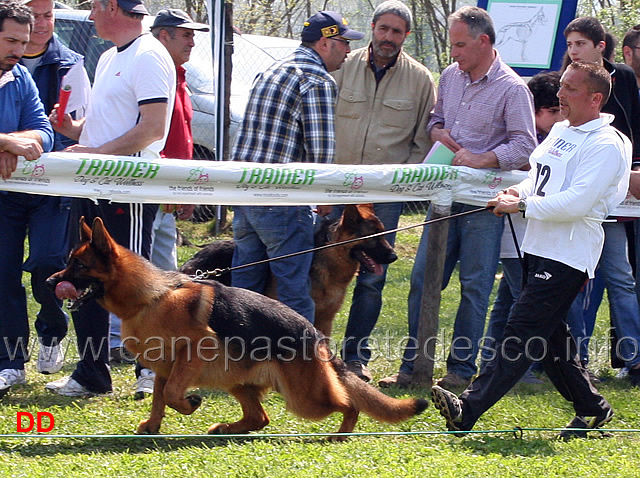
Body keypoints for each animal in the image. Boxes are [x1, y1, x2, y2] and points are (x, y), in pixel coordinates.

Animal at [47, 218, 428, 438]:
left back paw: (341, 433)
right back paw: (227, 428)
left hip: (304, 399)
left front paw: (189, 404)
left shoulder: (193, 353)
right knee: (261, 418)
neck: (150, 297)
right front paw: (152, 427)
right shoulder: (163, 368)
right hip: (238, 382)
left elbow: (172, 395)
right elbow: (158, 399)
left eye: (78, 265)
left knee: (348, 405)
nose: (50, 282)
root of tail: (316, 337)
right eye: (69, 262)